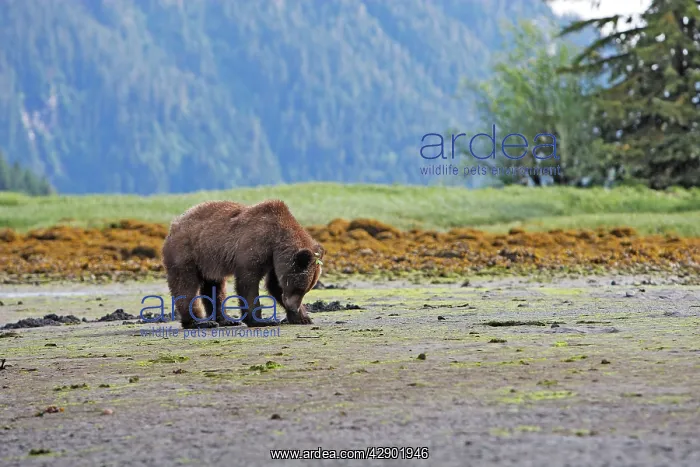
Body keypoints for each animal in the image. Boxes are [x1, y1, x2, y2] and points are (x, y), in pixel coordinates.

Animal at [161, 199, 324, 329]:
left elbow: (274, 285)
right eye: (299, 288)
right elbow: (248, 282)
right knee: (185, 285)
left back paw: (226, 320)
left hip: (208, 261)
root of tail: (173, 225)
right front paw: (261, 320)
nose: (294, 307)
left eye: (306, 289)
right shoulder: (255, 244)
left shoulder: (274, 260)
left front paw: (303, 318)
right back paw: (199, 322)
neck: (276, 239)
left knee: (214, 287)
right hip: (186, 253)